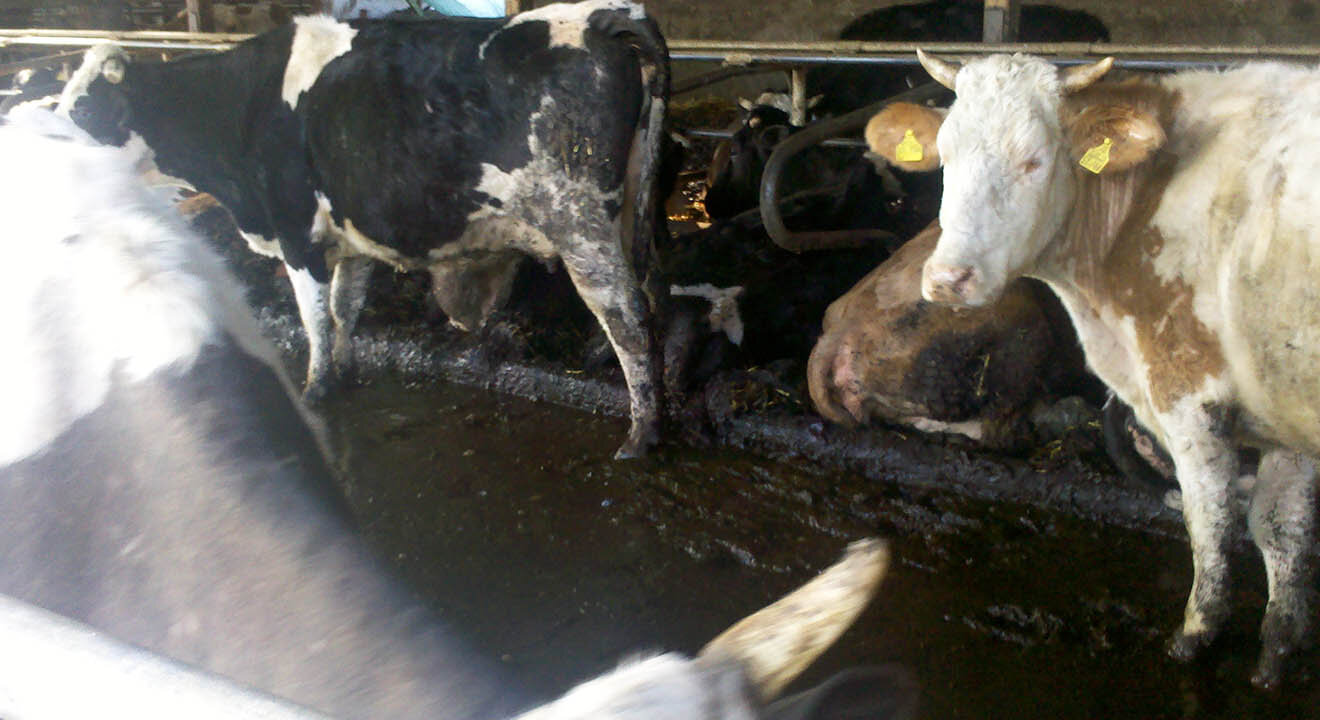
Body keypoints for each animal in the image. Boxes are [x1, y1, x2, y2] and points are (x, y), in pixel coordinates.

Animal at [59, 0, 670, 458]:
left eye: (84, 109)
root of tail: (601, 15)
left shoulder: (295, 230)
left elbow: (312, 316)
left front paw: (317, 388)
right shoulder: (348, 236)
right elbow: (343, 307)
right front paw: (347, 369)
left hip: (578, 220)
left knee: (628, 317)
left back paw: (641, 436)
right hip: (624, 214)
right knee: (639, 298)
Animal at [864, 50, 1320, 688]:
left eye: (1033, 160)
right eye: (946, 156)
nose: (949, 279)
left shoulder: (1186, 391)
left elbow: (1211, 520)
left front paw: (1194, 637)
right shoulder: (1281, 401)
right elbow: (1280, 528)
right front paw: (1279, 652)